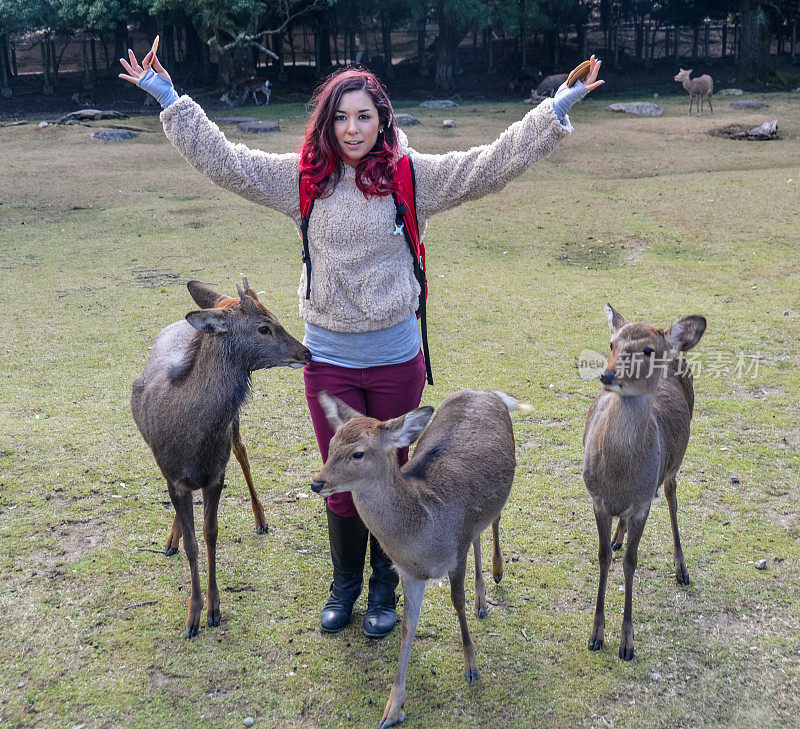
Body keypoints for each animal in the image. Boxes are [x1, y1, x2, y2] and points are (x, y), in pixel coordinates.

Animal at [131, 276, 310, 636]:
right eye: (264, 327)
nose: (306, 352)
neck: (193, 441)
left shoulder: (216, 474)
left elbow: (210, 534)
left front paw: (213, 610)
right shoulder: (175, 478)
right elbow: (193, 544)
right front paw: (193, 617)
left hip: (235, 428)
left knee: (242, 452)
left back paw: (261, 519)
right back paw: (171, 539)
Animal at [308, 390, 524, 724]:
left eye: (358, 454)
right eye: (330, 446)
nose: (317, 482)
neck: (424, 533)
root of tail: (485, 391)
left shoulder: (455, 553)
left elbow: (456, 601)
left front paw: (471, 667)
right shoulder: (409, 573)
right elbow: (408, 626)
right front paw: (392, 709)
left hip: (501, 491)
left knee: (495, 520)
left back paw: (498, 572)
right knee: (478, 533)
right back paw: (481, 601)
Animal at [580, 302, 708, 660]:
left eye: (648, 351)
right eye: (612, 344)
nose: (607, 376)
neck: (619, 478)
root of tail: (678, 352)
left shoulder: (642, 505)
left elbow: (631, 563)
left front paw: (627, 643)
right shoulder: (597, 499)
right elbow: (604, 557)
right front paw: (595, 635)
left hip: (672, 467)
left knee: (672, 498)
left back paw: (682, 569)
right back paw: (618, 537)